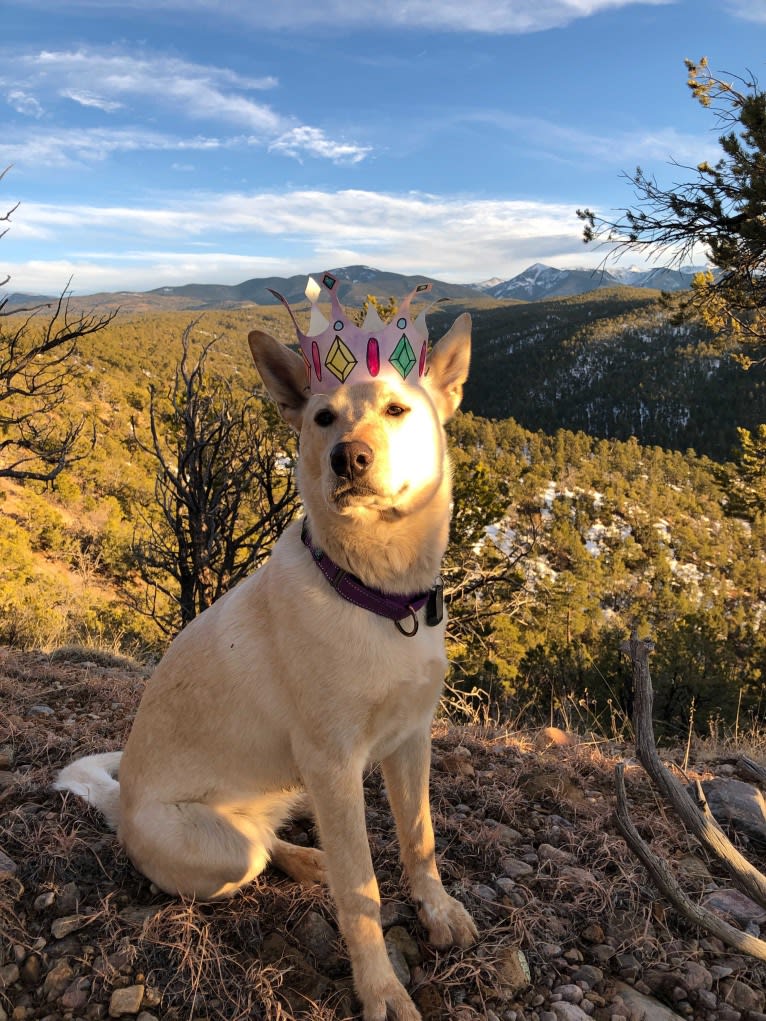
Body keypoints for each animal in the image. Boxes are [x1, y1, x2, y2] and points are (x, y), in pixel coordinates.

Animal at [54, 283, 477, 1021]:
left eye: (397, 409)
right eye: (323, 417)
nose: (348, 456)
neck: (377, 594)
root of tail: (120, 804)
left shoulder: (410, 740)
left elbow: (420, 838)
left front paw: (438, 908)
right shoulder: (335, 762)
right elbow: (362, 892)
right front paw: (381, 989)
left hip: (295, 792)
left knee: (283, 832)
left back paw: (309, 857)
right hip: (229, 846)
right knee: (262, 853)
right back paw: (310, 863)